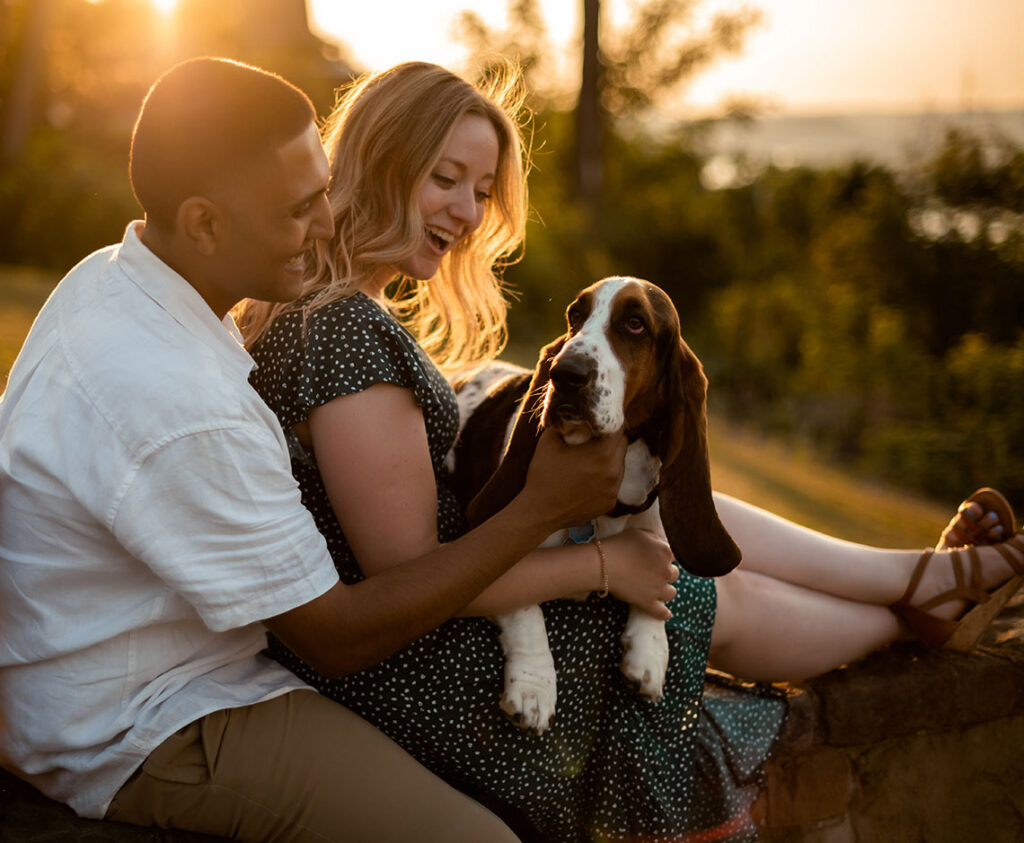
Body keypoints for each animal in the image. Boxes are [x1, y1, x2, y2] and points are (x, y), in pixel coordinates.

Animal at [448, 274, 737, 733]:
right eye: (574, 316)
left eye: (635, 324)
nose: (564, 374)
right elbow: (524, 608)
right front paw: (534, 687)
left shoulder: (654, 533)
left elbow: (659, 592)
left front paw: (650, 652)